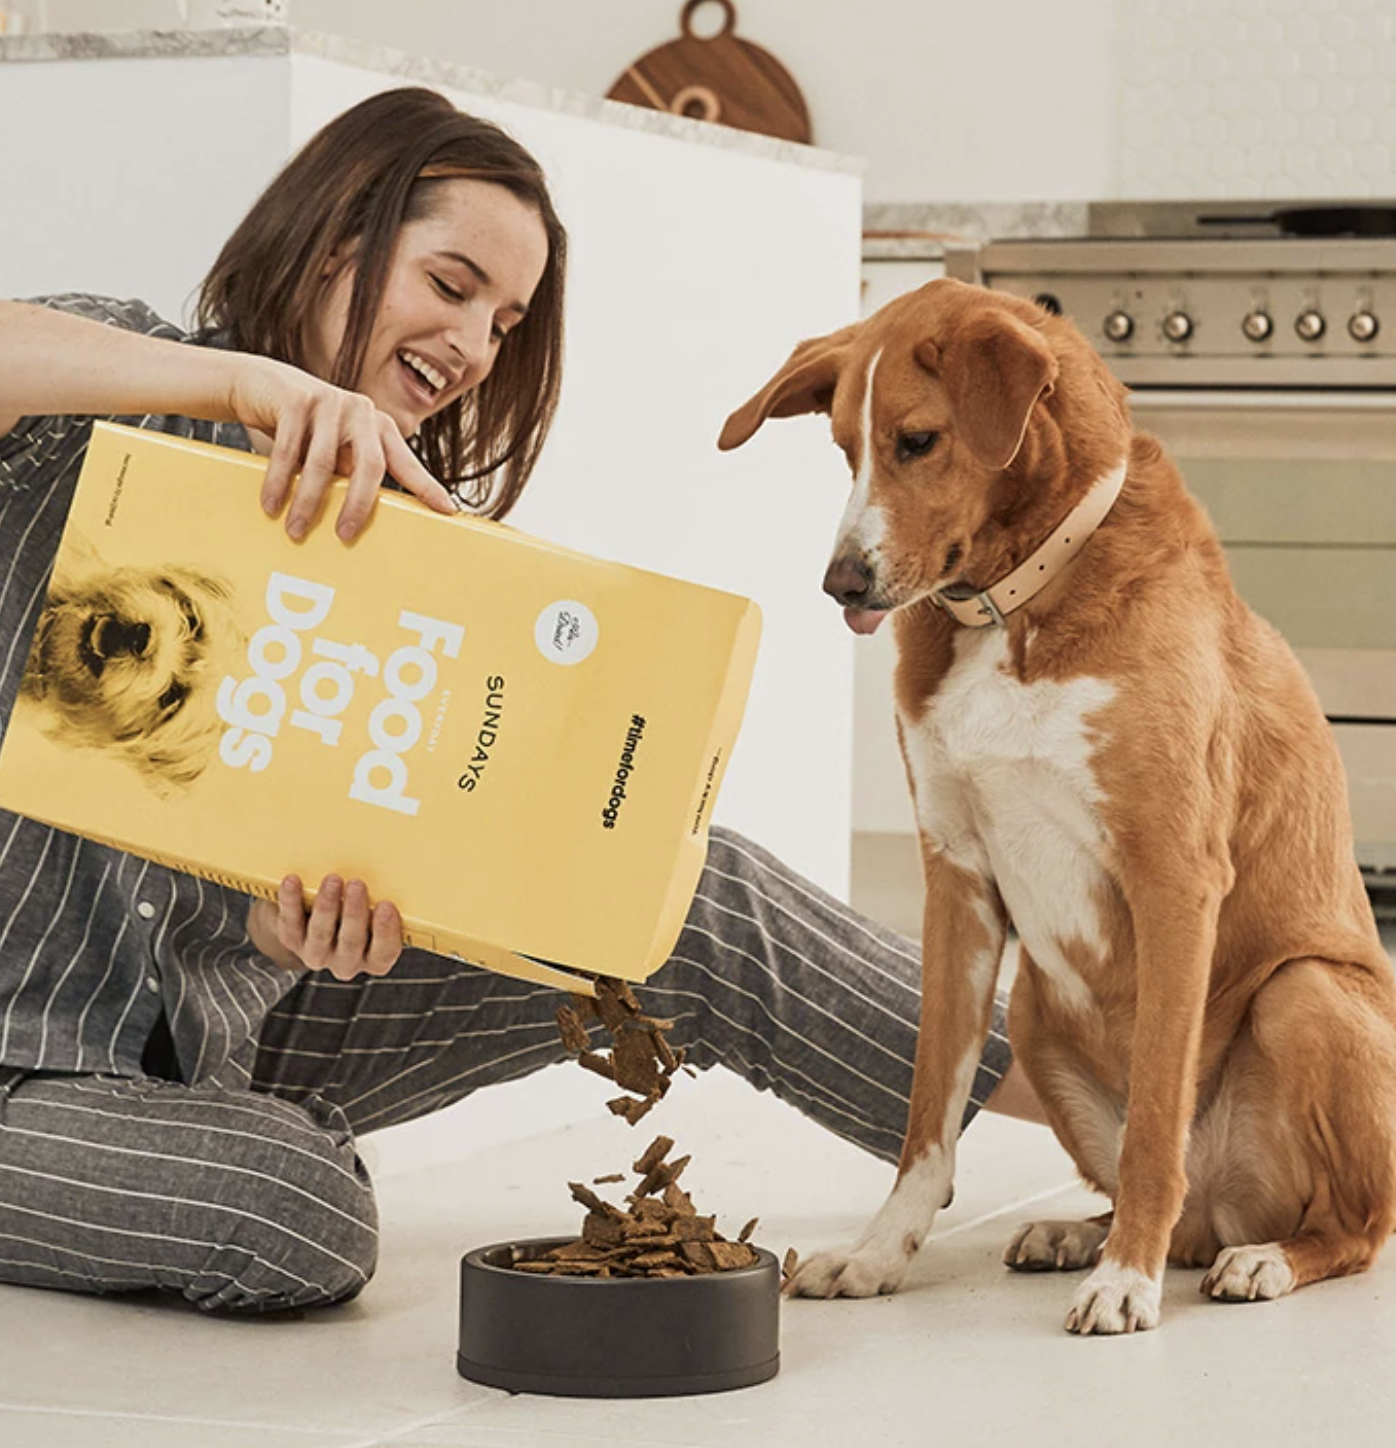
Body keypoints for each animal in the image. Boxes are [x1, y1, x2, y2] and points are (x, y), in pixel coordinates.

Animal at [721, 279, 1396, 1332]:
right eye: (842, 448)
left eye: (918, 441)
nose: (840, 584)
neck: (1010, 606)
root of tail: (1224, 1207)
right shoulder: (955, 881)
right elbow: (928, 1119)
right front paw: (880, 1255)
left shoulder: (1174, 875)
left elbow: (1156, 1115)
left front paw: (1125, 1282)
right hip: (1035, 1007)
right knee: (1171, 1208)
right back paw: (1082, 1232)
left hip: (1306, 992)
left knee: (1349, 1227)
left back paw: (1255, 1259)